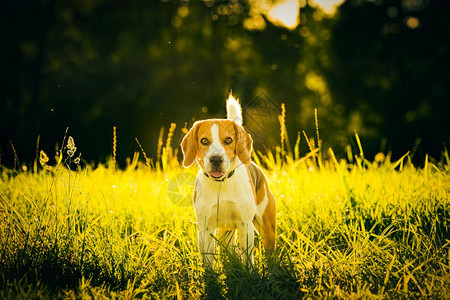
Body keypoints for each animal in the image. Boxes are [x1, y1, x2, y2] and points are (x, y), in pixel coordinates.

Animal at [181, 93, 276, 264]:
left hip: (267, 228)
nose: (216, 160)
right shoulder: (205, 230)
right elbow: (208, 261)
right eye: (204, 141)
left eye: (228, 140)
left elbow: (248, 259)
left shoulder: (246, 226)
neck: (221, 184)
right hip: (224, 233)